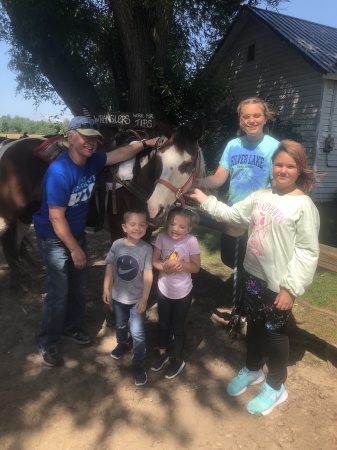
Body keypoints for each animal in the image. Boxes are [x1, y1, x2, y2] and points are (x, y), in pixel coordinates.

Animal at [0, 121, 202, 288]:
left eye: (188, 164)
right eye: (158, 161)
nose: (153, 209)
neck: (136, 178)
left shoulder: (146, 233)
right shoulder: (118, 231)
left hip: (24, 215)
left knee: (12, 243)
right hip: (6, 216)